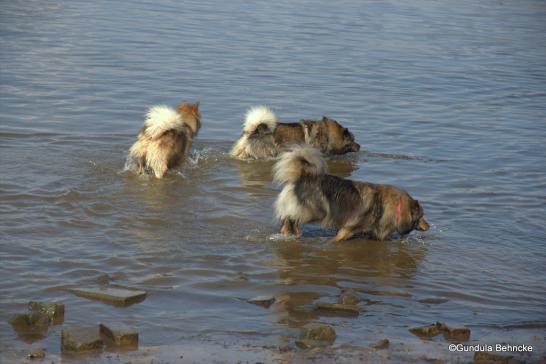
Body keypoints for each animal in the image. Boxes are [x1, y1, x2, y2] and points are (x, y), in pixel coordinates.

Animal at [274, 145, 428, 242]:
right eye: (421, 216)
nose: (429, 226)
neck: (396, 207)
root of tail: (303, 176)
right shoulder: (347, 229)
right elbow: (338, 238)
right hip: (316, 211)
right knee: (292, 218)